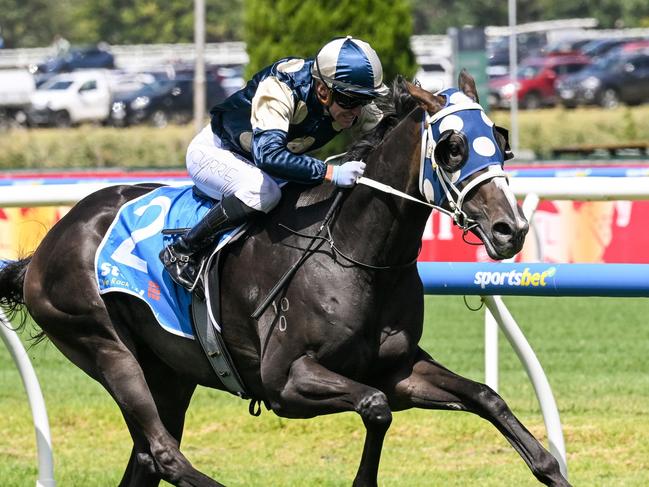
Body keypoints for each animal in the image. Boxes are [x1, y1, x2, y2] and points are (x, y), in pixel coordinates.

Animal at [0, 73, 568, 487]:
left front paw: (551, 467)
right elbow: (376, 407)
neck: (354, 251)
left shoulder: (398, 368)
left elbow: (484, 397)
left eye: (500, 142)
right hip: (104, 345)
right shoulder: (285, 380)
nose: (511, 230)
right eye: (452, 147)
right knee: (164, 454)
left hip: (170, 371)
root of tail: (50, 243)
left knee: (146, 457)